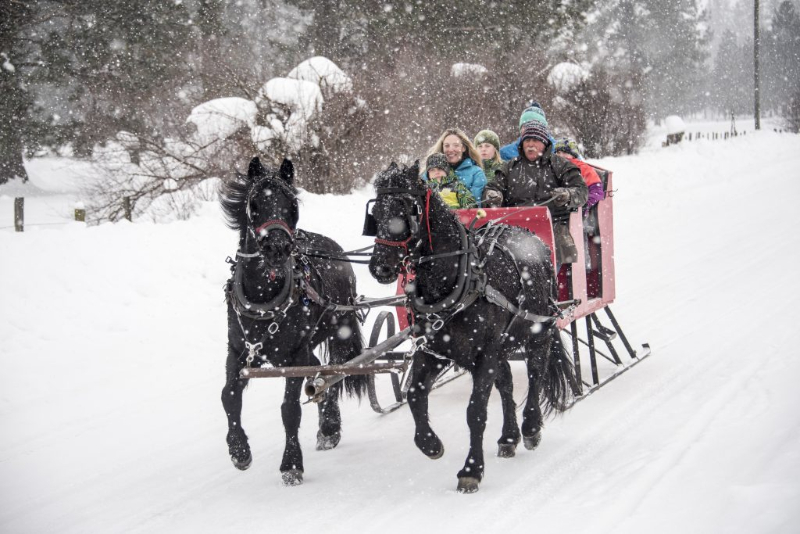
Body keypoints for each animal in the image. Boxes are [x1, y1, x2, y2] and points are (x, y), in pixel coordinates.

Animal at [222, 157, 366, 488]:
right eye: (255, 203)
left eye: (292, 203)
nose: (277, 247)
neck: (264, 296)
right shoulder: (237, 352)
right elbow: (228, 397)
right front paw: (239, 450)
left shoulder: (294, 357)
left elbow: (289, 410)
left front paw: (291, 465)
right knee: (321, 371)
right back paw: (328, 428)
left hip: (339, 329)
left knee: (332, 371)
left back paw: (329, 428)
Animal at [366, 162, 580, 494]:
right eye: (375, 213)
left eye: (406, 210)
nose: (380, 267)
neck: (457, 279)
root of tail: (530, 235)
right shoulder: (435, 351)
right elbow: (414, 395)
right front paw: (431, 445)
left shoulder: (484, 355)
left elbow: (476, 411)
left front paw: (471, 470)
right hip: (503, 345)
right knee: (507, 383)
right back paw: (509, 437)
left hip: (537, 332)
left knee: (536, 372)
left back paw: (531, 427)